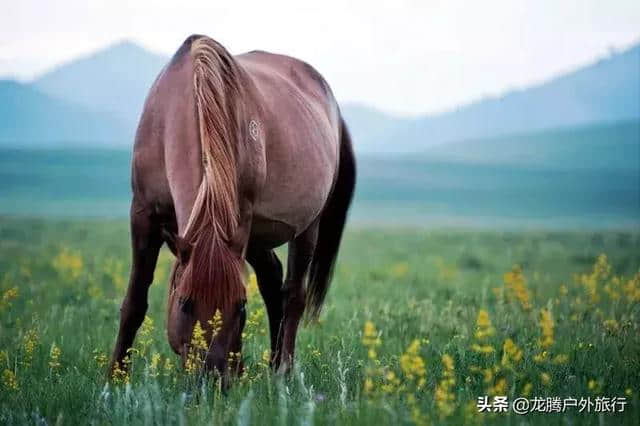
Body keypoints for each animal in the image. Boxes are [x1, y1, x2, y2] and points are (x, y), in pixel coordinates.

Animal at [112, 35, 358, 382]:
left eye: (240, 306)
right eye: (184, 303)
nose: (212, 378)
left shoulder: (240, 218)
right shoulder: (143, 214)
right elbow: (135, 300)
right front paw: (114, 378)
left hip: (306, 227)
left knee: (293, 294)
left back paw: (282, 371)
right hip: (256, 238)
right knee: (272, 280)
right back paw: (272, 364)